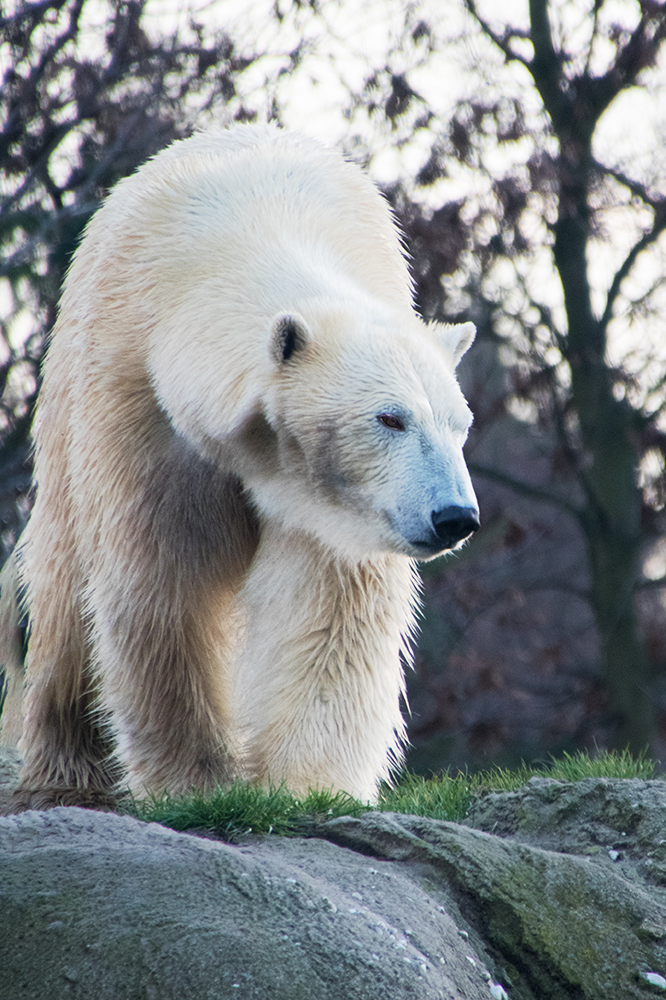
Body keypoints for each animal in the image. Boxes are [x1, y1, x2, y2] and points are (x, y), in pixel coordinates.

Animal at [5, 127, 474, 812]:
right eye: (391, 418)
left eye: (459, 423)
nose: (454, 516)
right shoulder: (141, 397)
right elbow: (162, 582)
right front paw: (194, 779)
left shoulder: (326, 502)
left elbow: (329, 603)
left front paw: (306, 784)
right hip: (65, 395)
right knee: (65, 586)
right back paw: (65, 772)